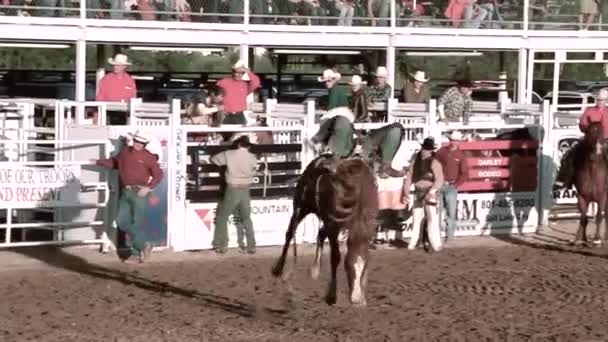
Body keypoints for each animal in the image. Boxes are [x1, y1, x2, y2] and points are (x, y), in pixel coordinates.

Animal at [272, 155, 380, 304]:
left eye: (365, 267)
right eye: (348, 266)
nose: (357, 300)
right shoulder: (333, 225)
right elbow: (336, 257)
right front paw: (331, 295)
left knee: (320, 233)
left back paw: (315, 270)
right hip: (301, 208)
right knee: (290, 233)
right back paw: (278, 269)